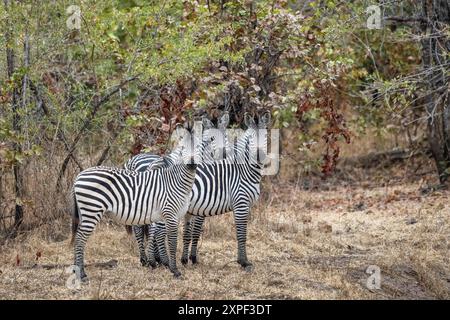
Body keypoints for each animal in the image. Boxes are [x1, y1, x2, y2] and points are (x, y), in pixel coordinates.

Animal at [71, 124, 215, 278]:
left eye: (199, 147)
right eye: (183, 148)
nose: (192, 163)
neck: (177, 181)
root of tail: (79, 176)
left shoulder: (174, 215)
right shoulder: (170, 213)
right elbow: (172, 241)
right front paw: (175, 270)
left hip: (86, 211)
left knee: (78, 237)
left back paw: (76, 270)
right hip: (92, 210)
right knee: (80, 239)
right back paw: (82, 275)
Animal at [126, 110, 268, 270]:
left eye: (266, 137)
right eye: (212, 139)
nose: (260, 156)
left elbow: (188, 233)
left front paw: (185, 258)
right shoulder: (235, 204)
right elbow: (236, 233)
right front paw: (242, 262)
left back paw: (151, 260)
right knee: (155, 231)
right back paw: (160, 261)